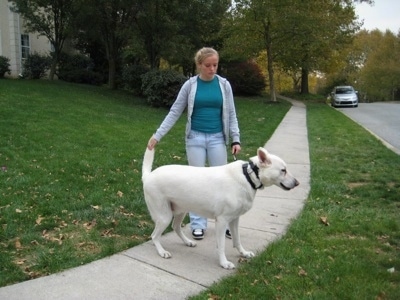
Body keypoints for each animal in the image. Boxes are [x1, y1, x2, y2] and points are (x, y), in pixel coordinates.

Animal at [142, 146, 298, 268]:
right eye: (283, 170)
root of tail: (148, 175)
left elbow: (237, 240)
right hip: (164, 216)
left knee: (175, 227)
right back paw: (162, 252)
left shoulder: (234, 220)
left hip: (180, 211)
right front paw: (224, 263)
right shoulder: (222, 221)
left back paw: (187, 242)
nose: (297, 183)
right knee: (154, 236)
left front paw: (244, 253)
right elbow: (221, 245)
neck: (248, 176)